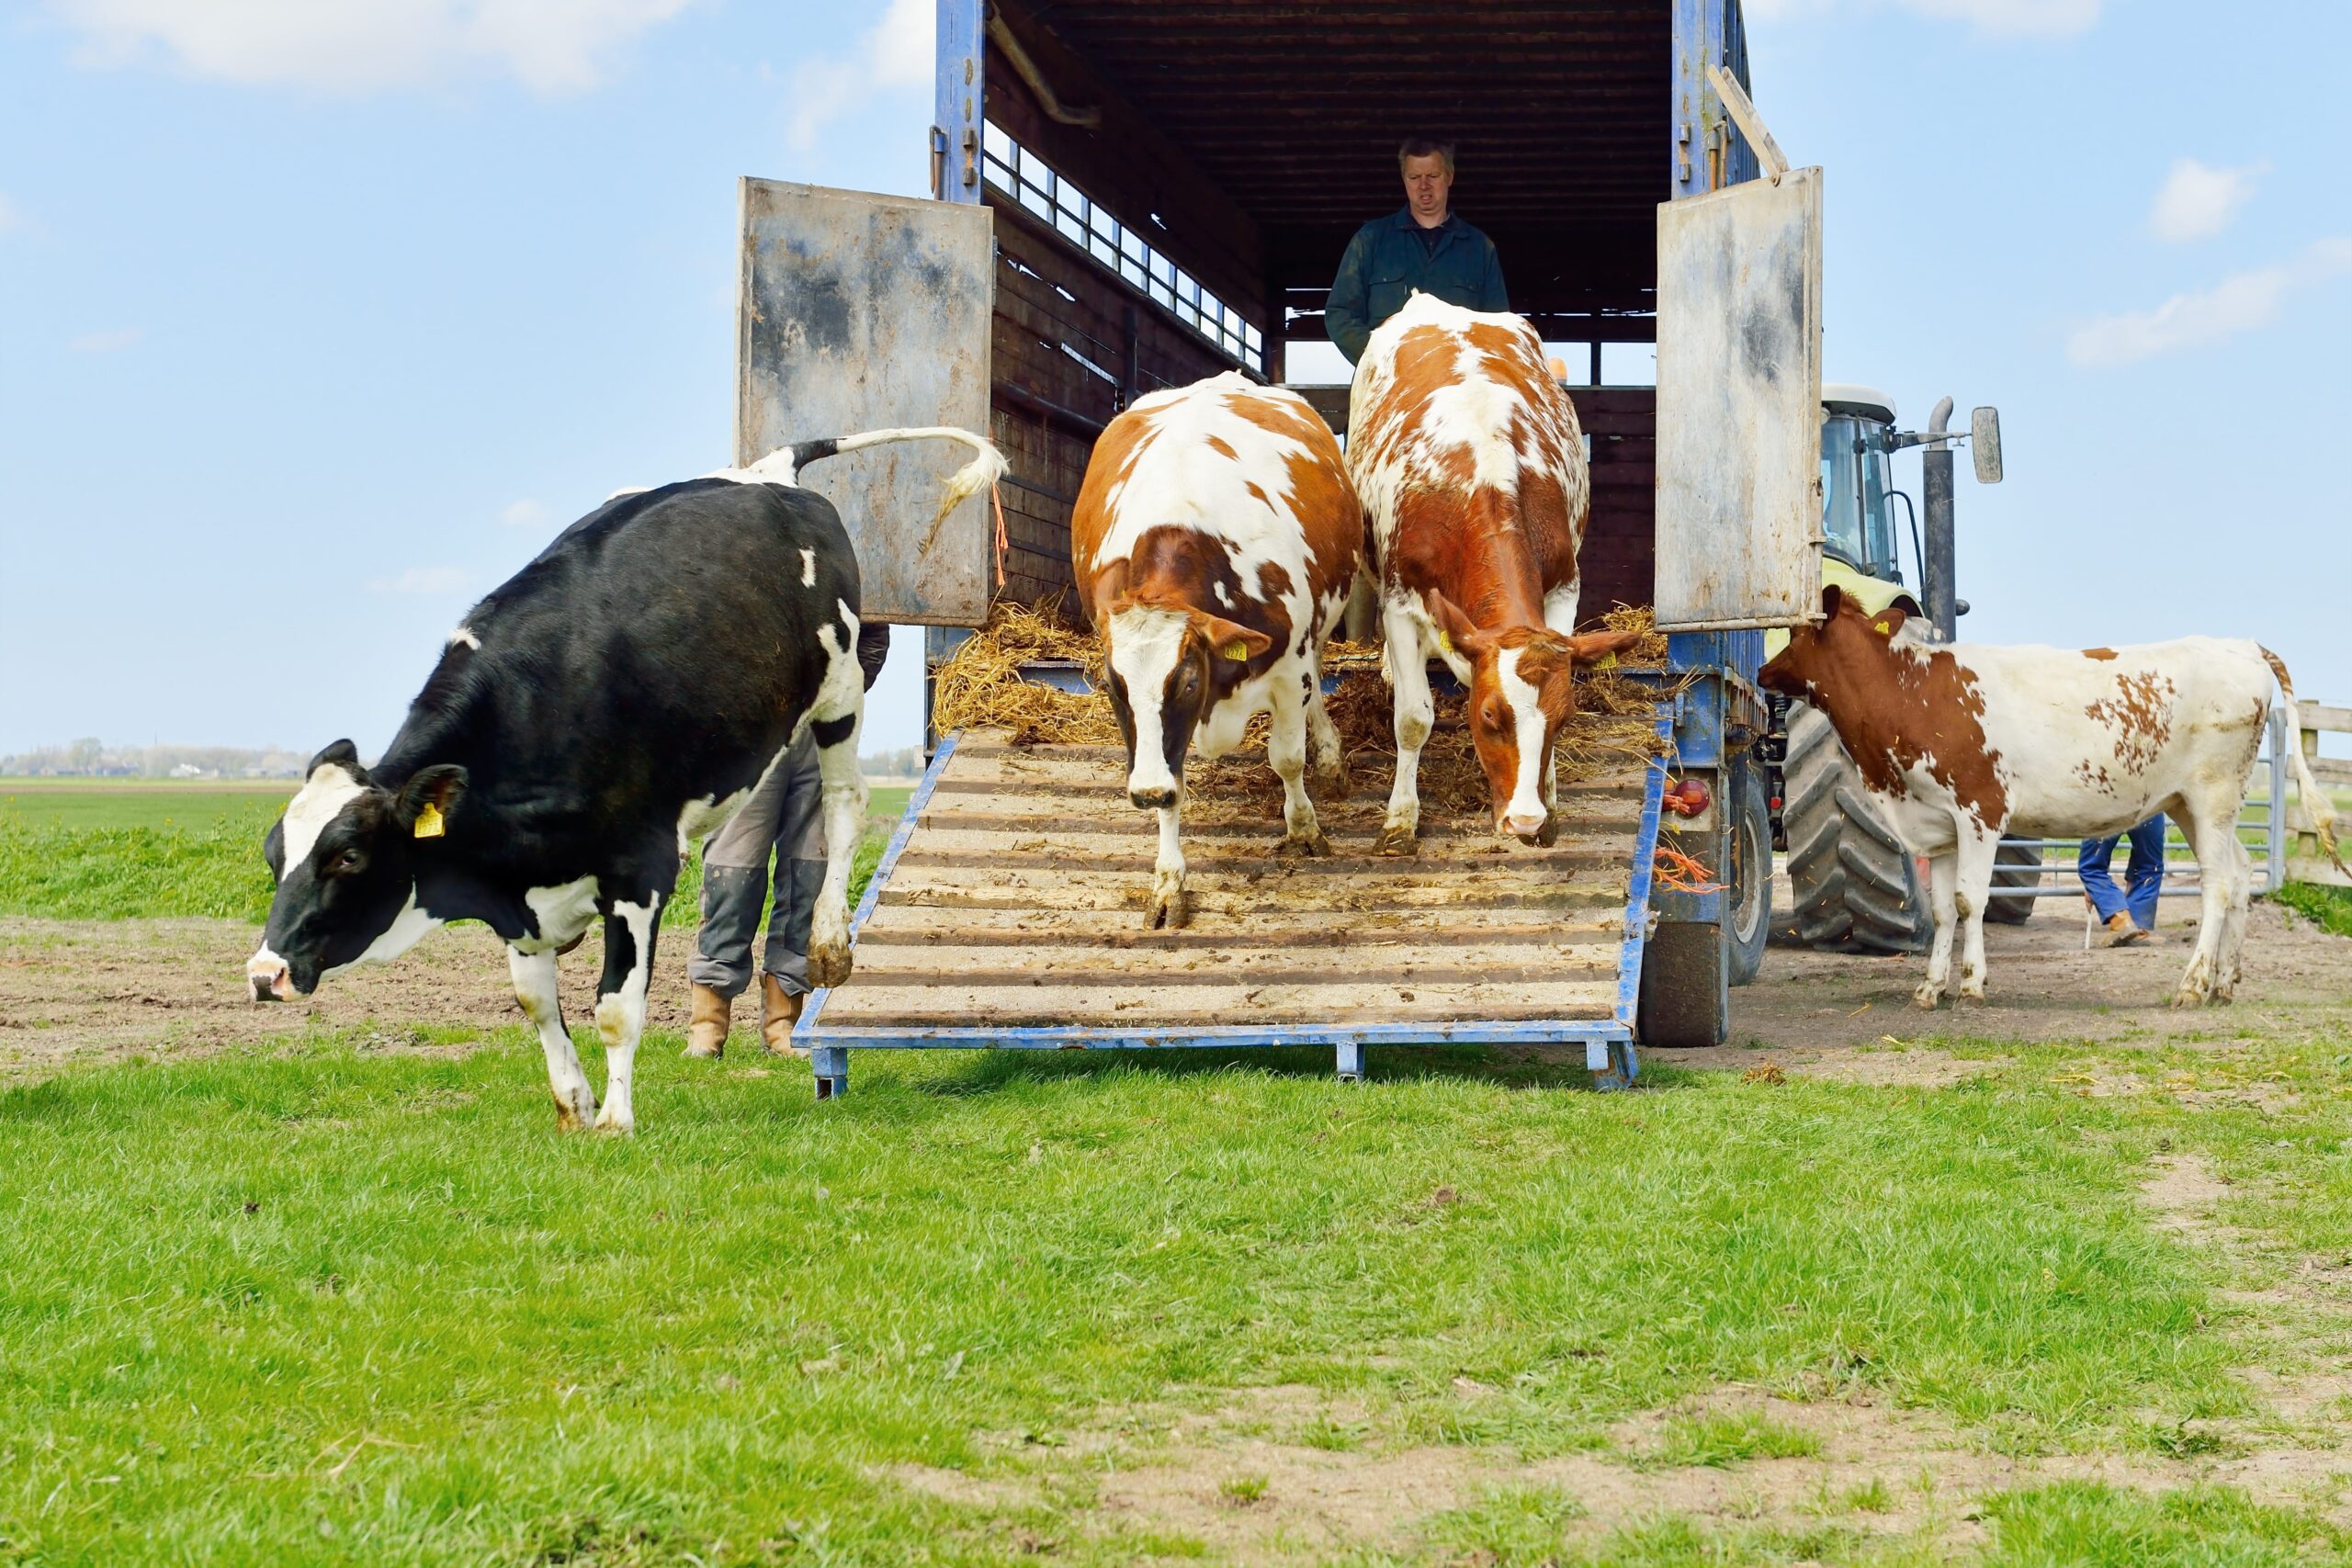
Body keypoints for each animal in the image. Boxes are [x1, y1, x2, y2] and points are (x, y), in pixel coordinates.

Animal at [245, 427, 1007, 1132]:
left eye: (348, 856)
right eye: (274, 854)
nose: (264, 973)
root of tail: (770, 472)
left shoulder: (640, 870)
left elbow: (615, 1007)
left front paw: (615, 1121)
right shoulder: (517, 892)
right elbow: (536, 1001)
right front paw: (572, 1106)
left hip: (840, 689)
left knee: (843, 805)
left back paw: (829, 944)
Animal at [1071, 371, 1361, 929]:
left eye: (1188, 681)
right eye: (1113, 687)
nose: (1143, 791)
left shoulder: (1289, 670)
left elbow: (1287, 757)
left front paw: (1303, 828)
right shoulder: (1161, 743)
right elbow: (1174, 787)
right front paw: (1168, 883)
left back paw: (1330, 754)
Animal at [1347, 292, 1644, 854]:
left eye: (1564, 718)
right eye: (1489, 715)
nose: (1523, 821)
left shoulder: (1564, 587)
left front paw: (1551, 801)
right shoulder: (1399, 601)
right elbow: (1412, 718)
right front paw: (1400, 820)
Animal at [1758, 585, 2346, 1010]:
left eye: (1796, 630)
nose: (1762, 671)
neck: (1909, 690)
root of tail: (2241, 645)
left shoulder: (1981, 811)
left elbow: (1971, 901)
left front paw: (1971, 984)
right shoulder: (1939, 823)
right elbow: (1945, 909)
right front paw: (1930, 987)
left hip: (2213, 796)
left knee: (2219, 885)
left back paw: (2193, 984)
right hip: (2189, 805)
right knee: (2242, 874)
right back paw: (2224, 981)